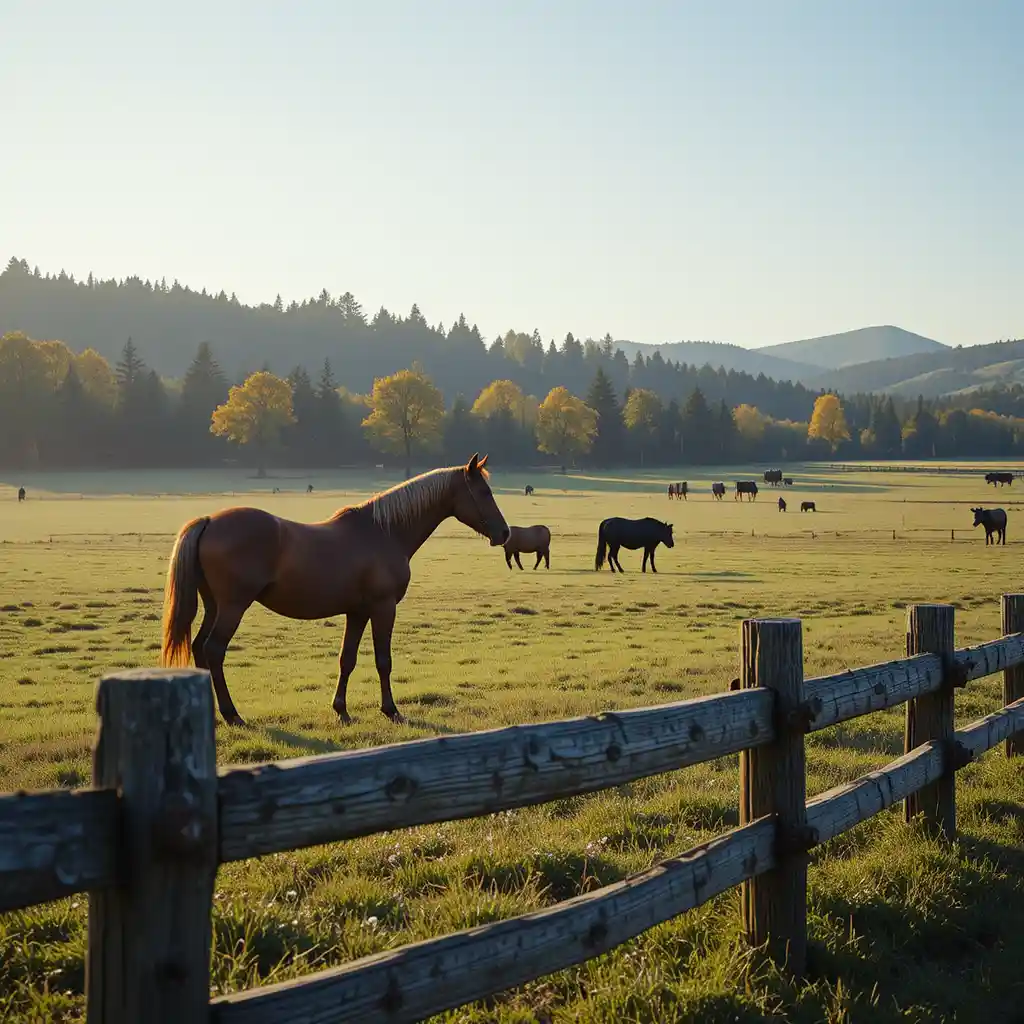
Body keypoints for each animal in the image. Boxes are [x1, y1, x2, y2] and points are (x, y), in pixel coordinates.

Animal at [161, 454, 509, 727]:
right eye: (483, 491)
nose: (504, 533)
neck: (383, 532)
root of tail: (209, 520)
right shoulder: (383, 608)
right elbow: (383, 660)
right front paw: (391, 709)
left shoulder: (357, 612)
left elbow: (347, 659)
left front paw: (341, 710)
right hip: (233, 607)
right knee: (214, 650)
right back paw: (232, 715)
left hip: (214, 606)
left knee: (199, 647)